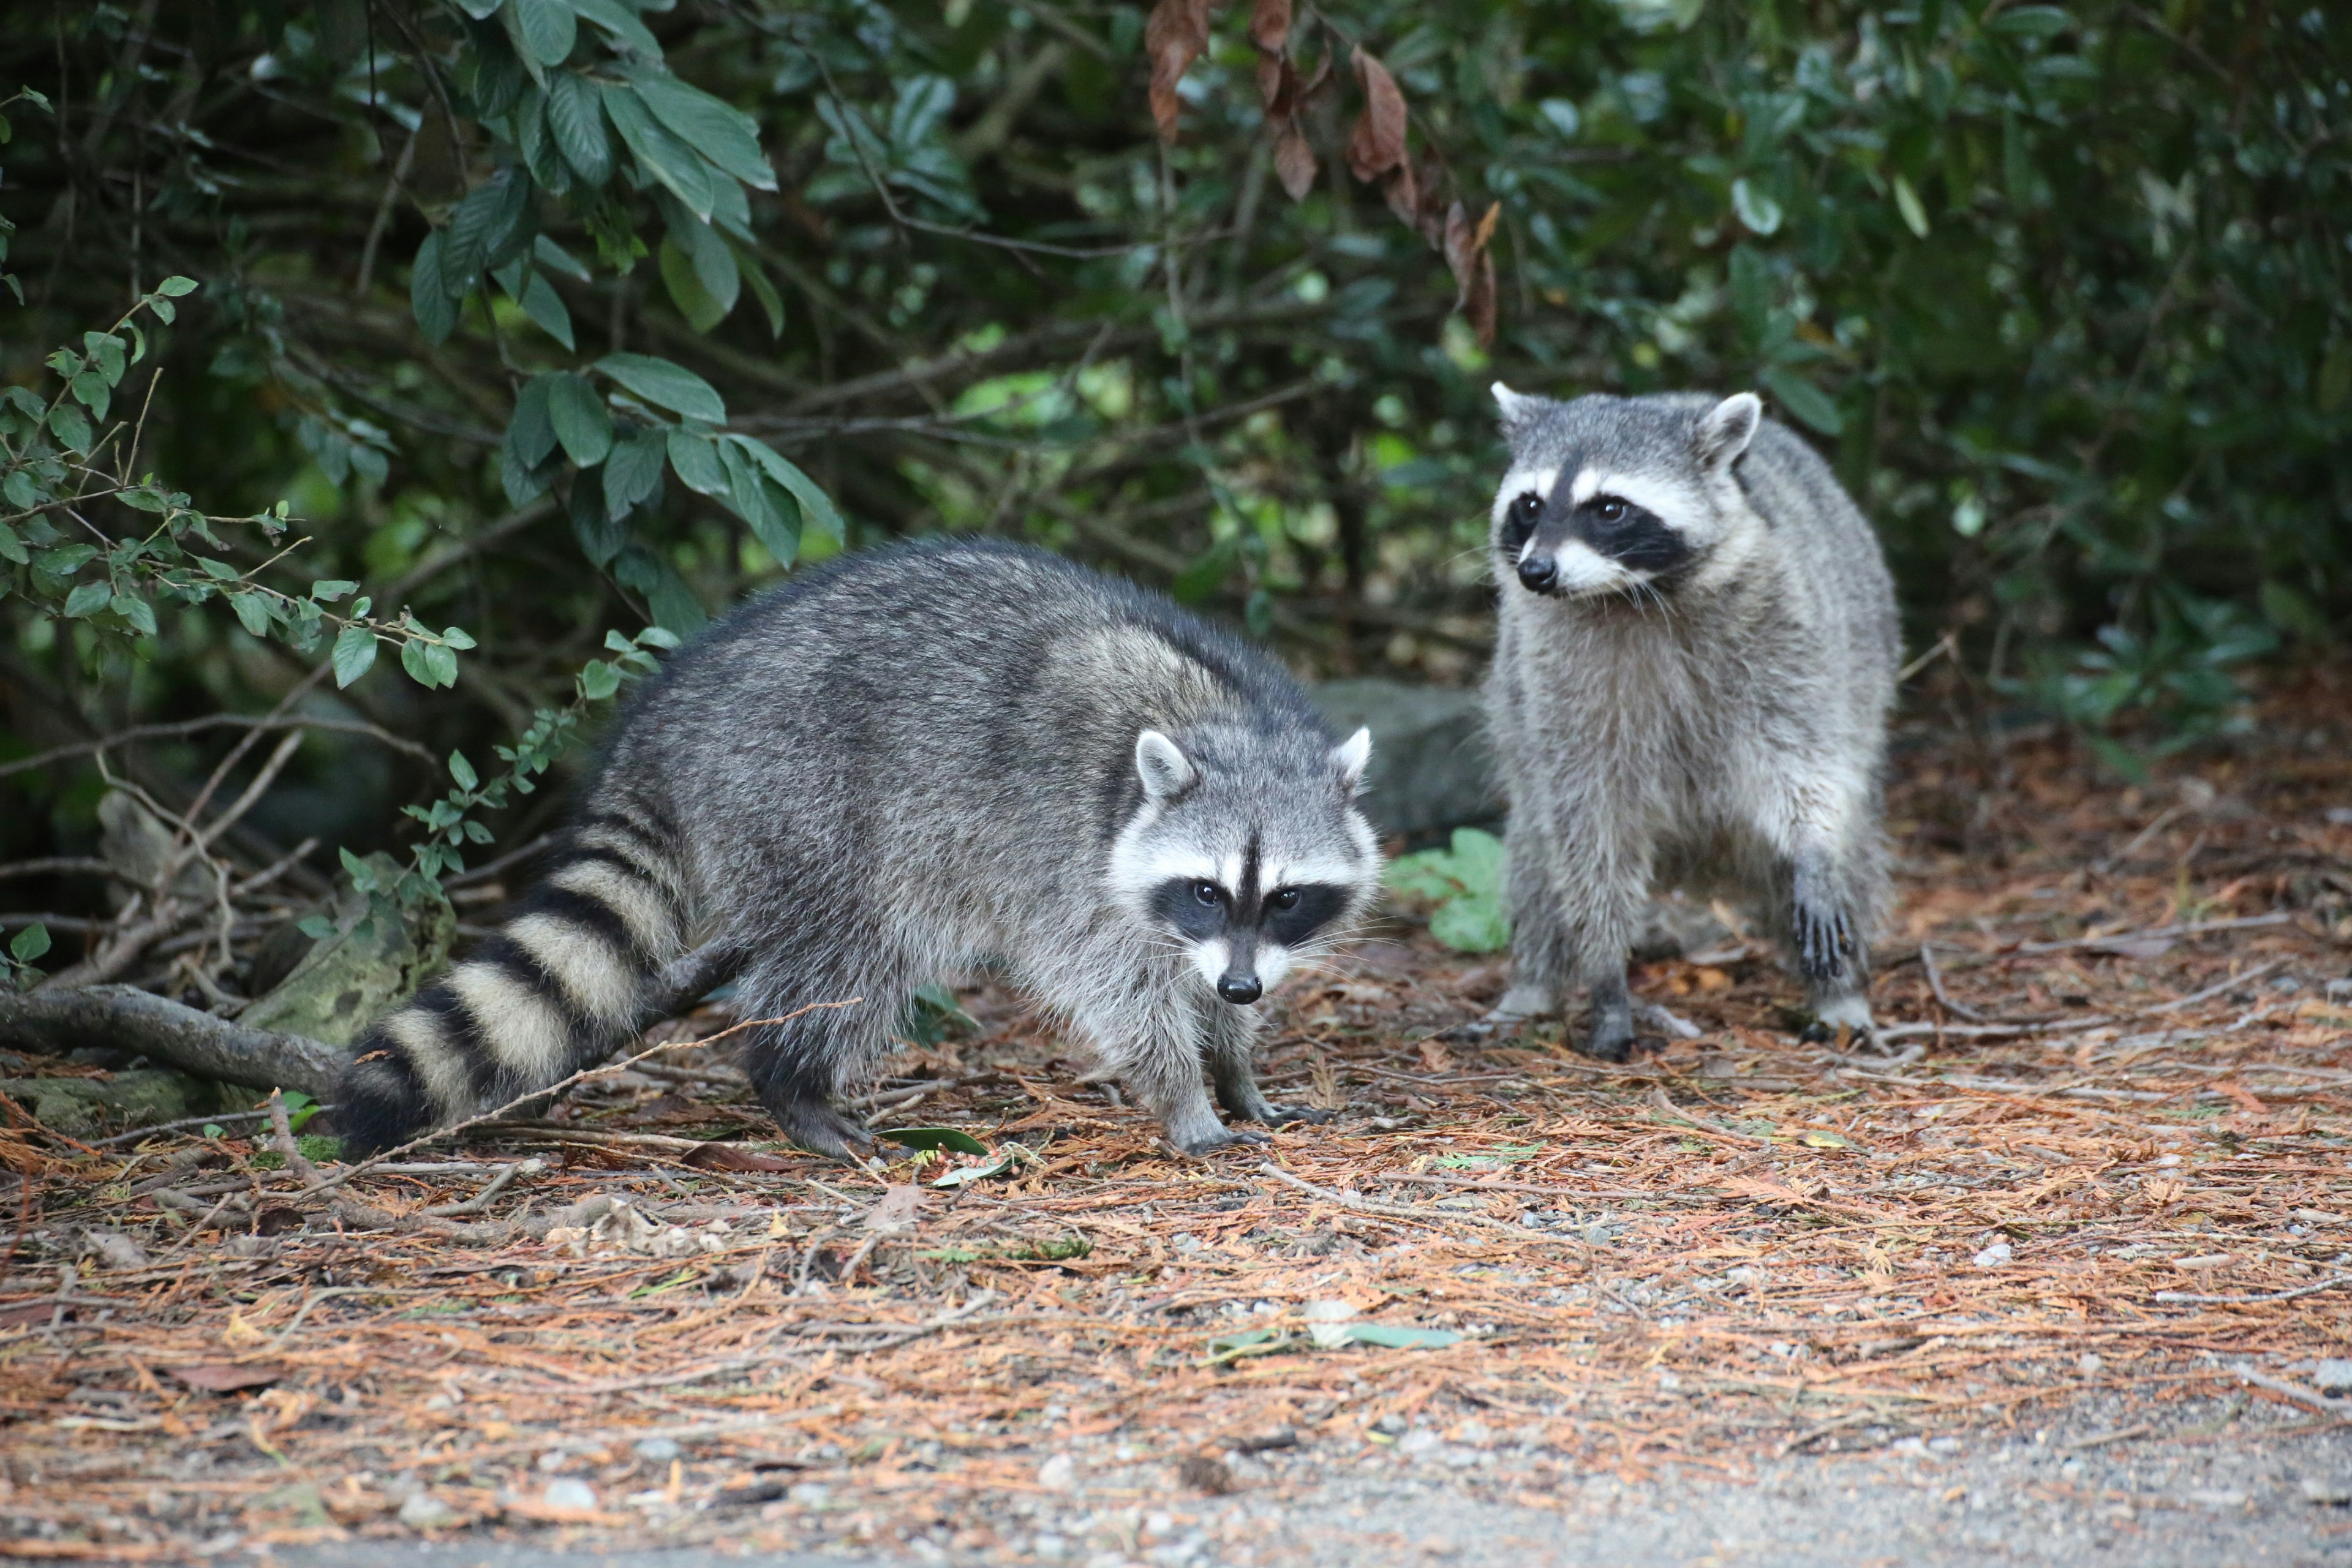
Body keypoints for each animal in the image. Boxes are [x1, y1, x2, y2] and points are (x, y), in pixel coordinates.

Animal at [331, 533, 1373, 1161]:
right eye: (1205, 889)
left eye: (1286, 898)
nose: (1242, 986)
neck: (1232, 726)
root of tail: (665, 720)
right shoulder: (1072, 858)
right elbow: (1120, 989)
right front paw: (1185, 1095)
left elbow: (1198, 986)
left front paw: (1236, 1066)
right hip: (801, 802)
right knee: (850, 960)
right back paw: (791, 1083)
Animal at [1486, 385, 1910, 1062]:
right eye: (1530, 504)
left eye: (1610, 508)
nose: (1536, 572)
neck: (1629, 594)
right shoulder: (1550, 672)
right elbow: (1588, 816)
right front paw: (1605, 971)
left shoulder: (1787, 626)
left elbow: (1802, 755)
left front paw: (1814, 851)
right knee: (1536, 857)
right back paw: (1533, 984)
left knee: (1856, 859)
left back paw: (1842, 995)